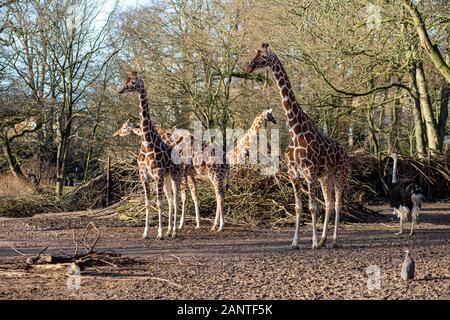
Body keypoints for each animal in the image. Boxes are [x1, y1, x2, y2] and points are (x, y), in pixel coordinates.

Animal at [118, 71, 184, 239]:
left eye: (133, 82)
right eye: (126, 81)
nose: (121, 90)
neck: (147, 143)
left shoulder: (158, 174)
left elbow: (159, 203)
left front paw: (159, 234)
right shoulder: (144, 175)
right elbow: (148, 202)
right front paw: (146, 233)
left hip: (175, 175)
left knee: (177, 199)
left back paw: (174, 232)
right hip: (167, 177)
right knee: (171, 199)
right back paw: (169, 230)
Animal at [246, 42, 348, 249]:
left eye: (263, 57)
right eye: (255, 54)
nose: (249, 67)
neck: (296, 130)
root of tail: (344, 150)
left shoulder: (309, 174)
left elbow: (312, 207)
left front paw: (313, 243)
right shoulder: (294, 174)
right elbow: (299, 207)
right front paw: (295, 242)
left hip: (339, 173)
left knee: (338, 203)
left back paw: (333, 241)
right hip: (325, 176)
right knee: (329, 202)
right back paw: (325, 240)